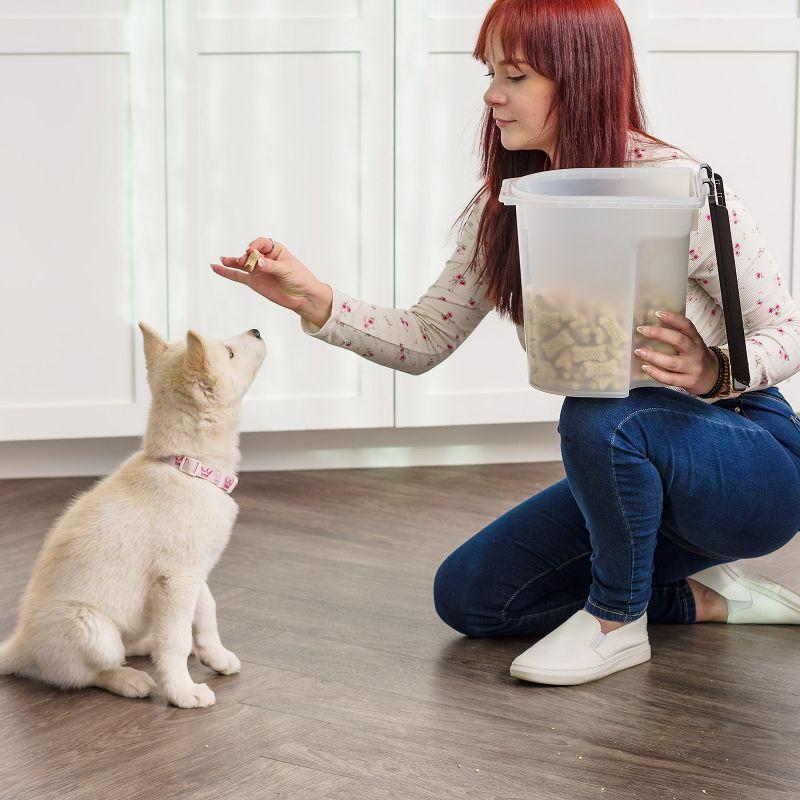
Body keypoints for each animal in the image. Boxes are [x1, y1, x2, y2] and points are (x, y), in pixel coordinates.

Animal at [0, 322, 268, 708]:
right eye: (230, 352)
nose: (258, 330)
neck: (187, 467)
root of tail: (19, 644)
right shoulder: (176, 580)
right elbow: (175, 640)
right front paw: (182, 691)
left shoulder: (193, 572)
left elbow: (207, 612)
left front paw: (215, 656)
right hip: (93, 629)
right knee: (85, 674)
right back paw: (129, 679)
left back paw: (144, 645)